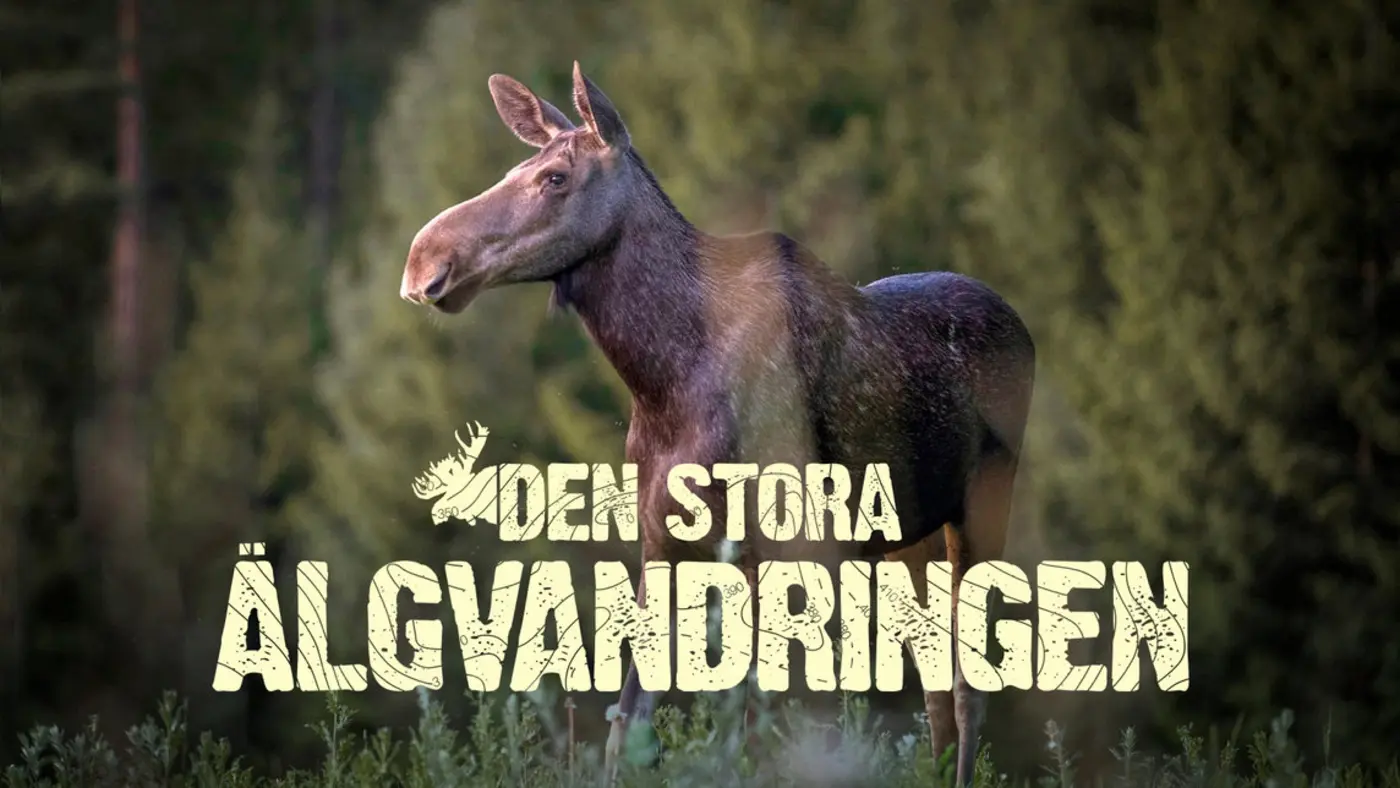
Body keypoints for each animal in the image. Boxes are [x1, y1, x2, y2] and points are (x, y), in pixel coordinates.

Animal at [399, 62, 1035, 787]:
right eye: (517, 167)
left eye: (555, 177)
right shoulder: (661, 544)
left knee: (967, 686)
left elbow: (761, 732)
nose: (425, 261)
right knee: (934, 686)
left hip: (986, 497)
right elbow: (629, 729)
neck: (661, 382)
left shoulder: (778, 552)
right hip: (909, 533)